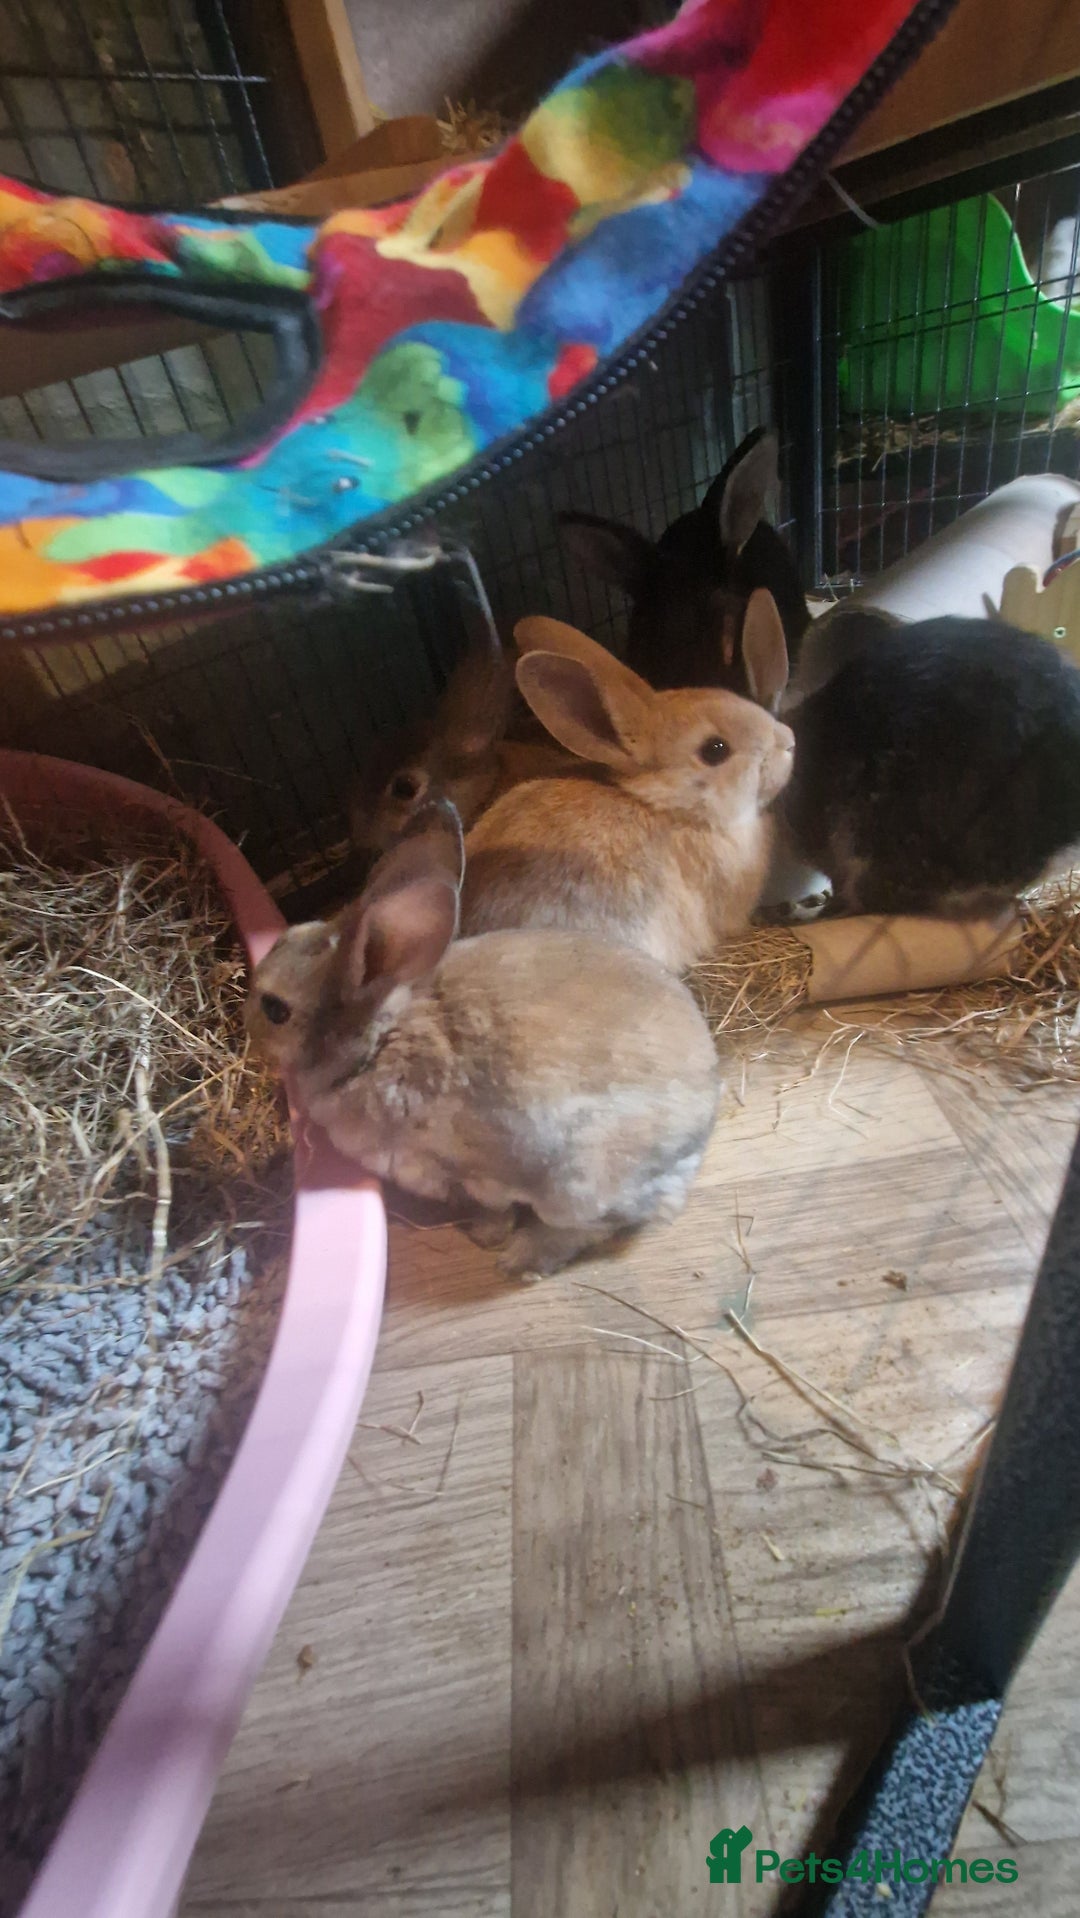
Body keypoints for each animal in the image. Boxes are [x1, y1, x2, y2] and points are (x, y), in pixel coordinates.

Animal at [246, 801, 722, 1280]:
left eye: (275, 1009)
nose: (248, 1027)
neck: (379, 1042)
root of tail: (699, 1138)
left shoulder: (457, 1170)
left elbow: (492, 1208)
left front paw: (485, 1235)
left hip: (577, 1185)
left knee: (592, 1227)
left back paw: (522, 1258)